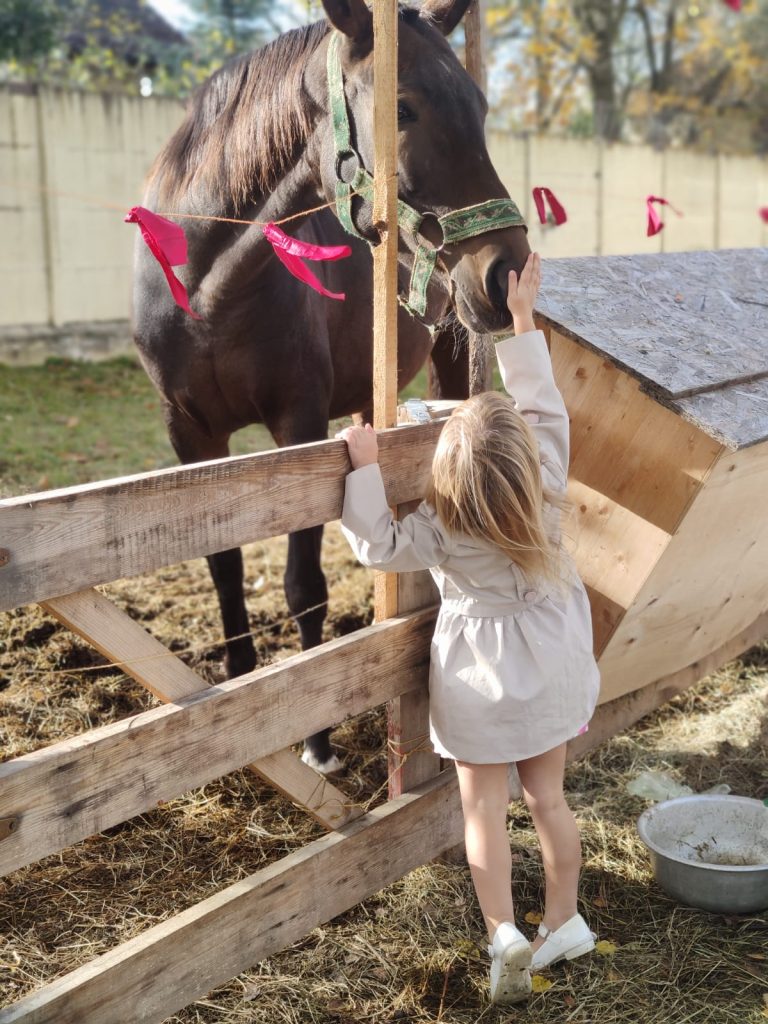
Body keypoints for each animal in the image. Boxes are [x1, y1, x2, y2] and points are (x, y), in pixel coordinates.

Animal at [134, 0, 528, 770]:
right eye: (401, 106)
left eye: (480, 106)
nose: (508, 271)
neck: (208, 290)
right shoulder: (187, 432)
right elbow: (224, 565)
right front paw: (240, 690)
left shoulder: (301, 425)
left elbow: (302, 585)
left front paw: (314, 740)